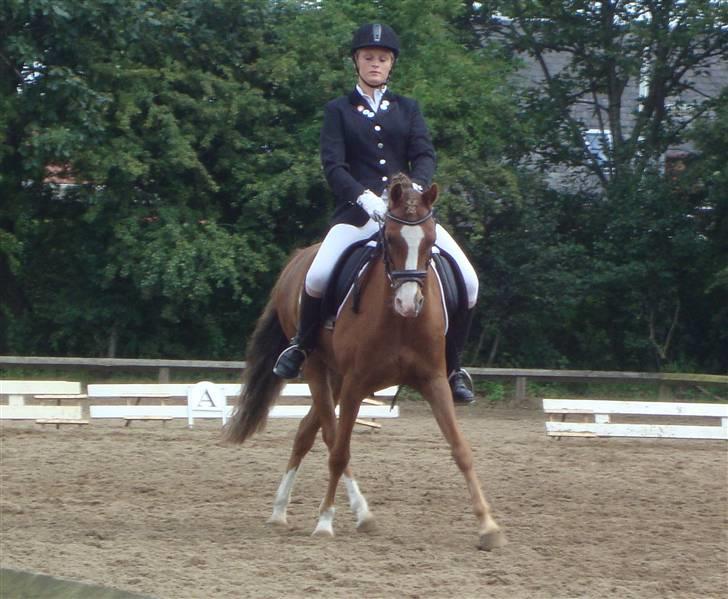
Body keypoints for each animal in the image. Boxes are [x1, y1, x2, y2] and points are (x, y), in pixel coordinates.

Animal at [225, 173, 505, 550]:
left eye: (431, 240)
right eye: (390, 238)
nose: (408, 302)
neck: (401, 322)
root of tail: (299, 257)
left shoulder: (433, 381)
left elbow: (461, 449)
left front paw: (488, 527)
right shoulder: (357, 383)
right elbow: (340, 451)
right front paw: (324, 522)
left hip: (336, 379)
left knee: (306, 432)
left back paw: (285, 511)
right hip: (318, 369)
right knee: (330, 437)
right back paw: (351, 511)